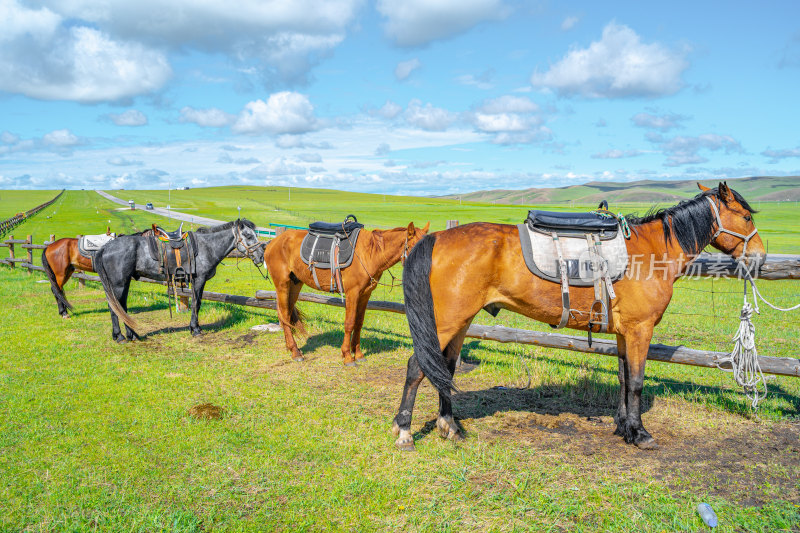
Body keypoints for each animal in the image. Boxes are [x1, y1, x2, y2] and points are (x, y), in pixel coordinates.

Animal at [93, 219, 262, 340]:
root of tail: (105, 247)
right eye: (248, 236)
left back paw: (131, 335)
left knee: (121, 307)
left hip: (124, 282)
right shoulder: (198, 280)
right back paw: (120, 336)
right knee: (114, 308)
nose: (260, 256)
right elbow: (196, 303)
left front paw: (195, 327)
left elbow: (197, 303)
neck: (207, 247)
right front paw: (195, 329)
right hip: (118, 284)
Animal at [266, 220, 432, 366]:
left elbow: (358, 323)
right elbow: (349, 323)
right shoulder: (353, 293)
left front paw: (357, 354)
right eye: (414, 248)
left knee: (286, 314)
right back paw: (295, 352)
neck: (370, 253)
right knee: (283, 314)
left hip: (295, 285)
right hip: (282, 285)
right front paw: (347, 356)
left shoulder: (365, 294)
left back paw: (292, 348)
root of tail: (272, 243)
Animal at [390, 183, 764, 448]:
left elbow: (624, 379)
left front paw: (624, 427)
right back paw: (405, 430)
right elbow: (637, 383)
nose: (760, 256)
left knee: (444, 367)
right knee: (416, 366)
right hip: (446, 322)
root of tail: (440, 237)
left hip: (460, 322)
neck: (653, 252)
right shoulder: (640, 330)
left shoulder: (624, 333)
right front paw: (640, 434)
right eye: (747, 217)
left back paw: (449, 426)